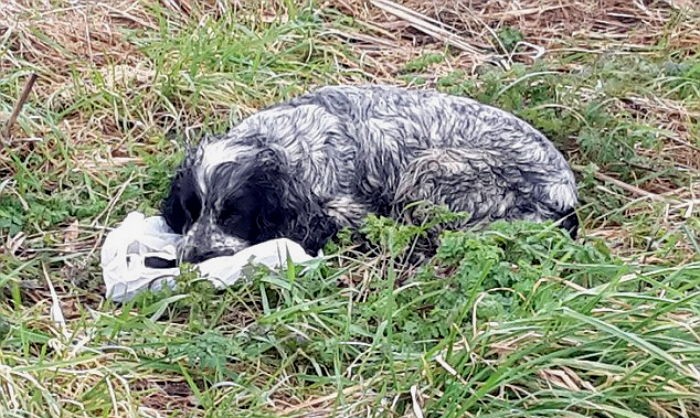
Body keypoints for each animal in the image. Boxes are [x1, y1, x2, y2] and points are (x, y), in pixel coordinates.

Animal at [161, 83, 576, 262]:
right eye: (190, 212)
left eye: (234, 216)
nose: (194, 256)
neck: (282, 144)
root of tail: (565, 194)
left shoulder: (344, 209)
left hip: (431, 170)